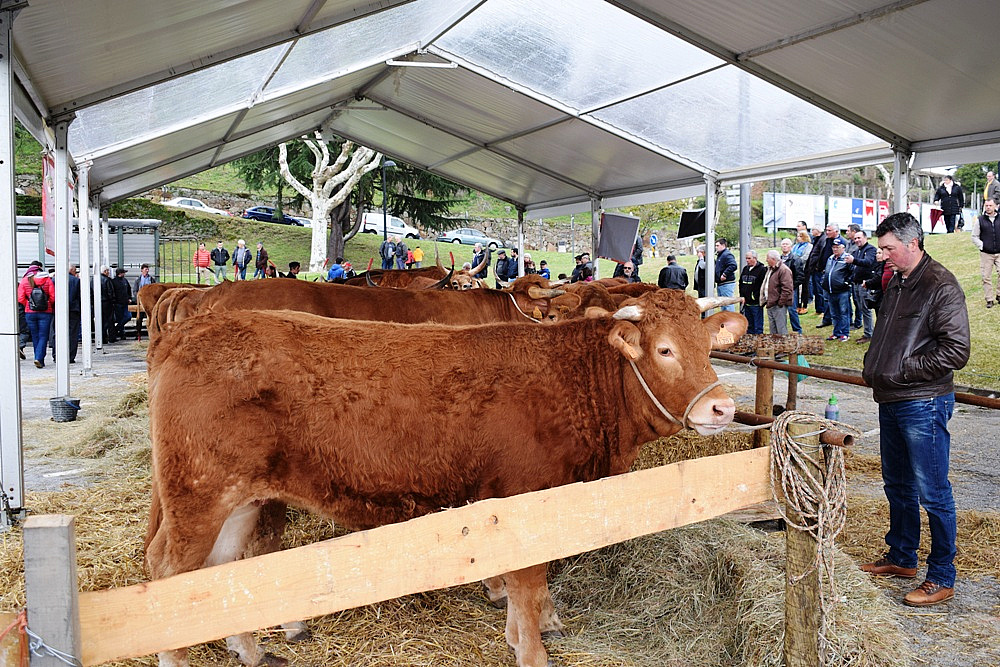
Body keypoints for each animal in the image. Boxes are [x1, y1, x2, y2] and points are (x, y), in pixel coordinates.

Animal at [145, 294, 748, 667]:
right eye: (664, 349)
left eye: (708, 347)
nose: (720, 408)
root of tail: (194, 329)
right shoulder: (523, 496)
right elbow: (528, 582)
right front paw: (531, 650)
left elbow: (526, 586)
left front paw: (520, 633)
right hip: (198, 494)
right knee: (169, 573)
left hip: (240, 497)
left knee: (221, 572)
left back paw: (251, 651)